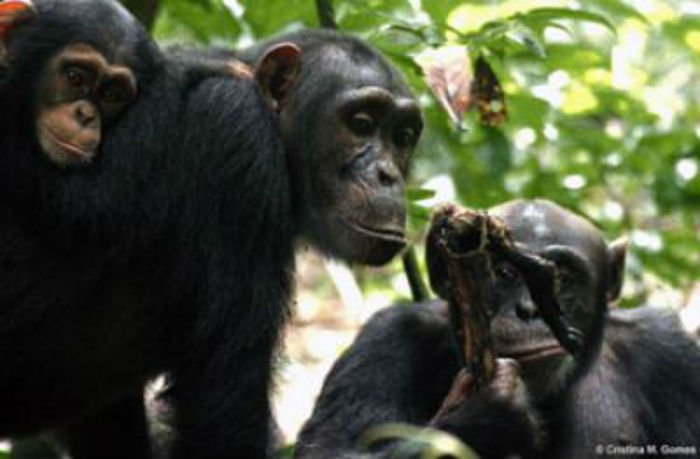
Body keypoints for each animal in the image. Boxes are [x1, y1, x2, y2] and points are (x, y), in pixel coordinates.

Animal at [298, 200, 700, 459]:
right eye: (504, 272)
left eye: (562, 276)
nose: (528, 310)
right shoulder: (386, 339)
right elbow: (330, 447)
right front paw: (488, 414)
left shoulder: (671, 354)